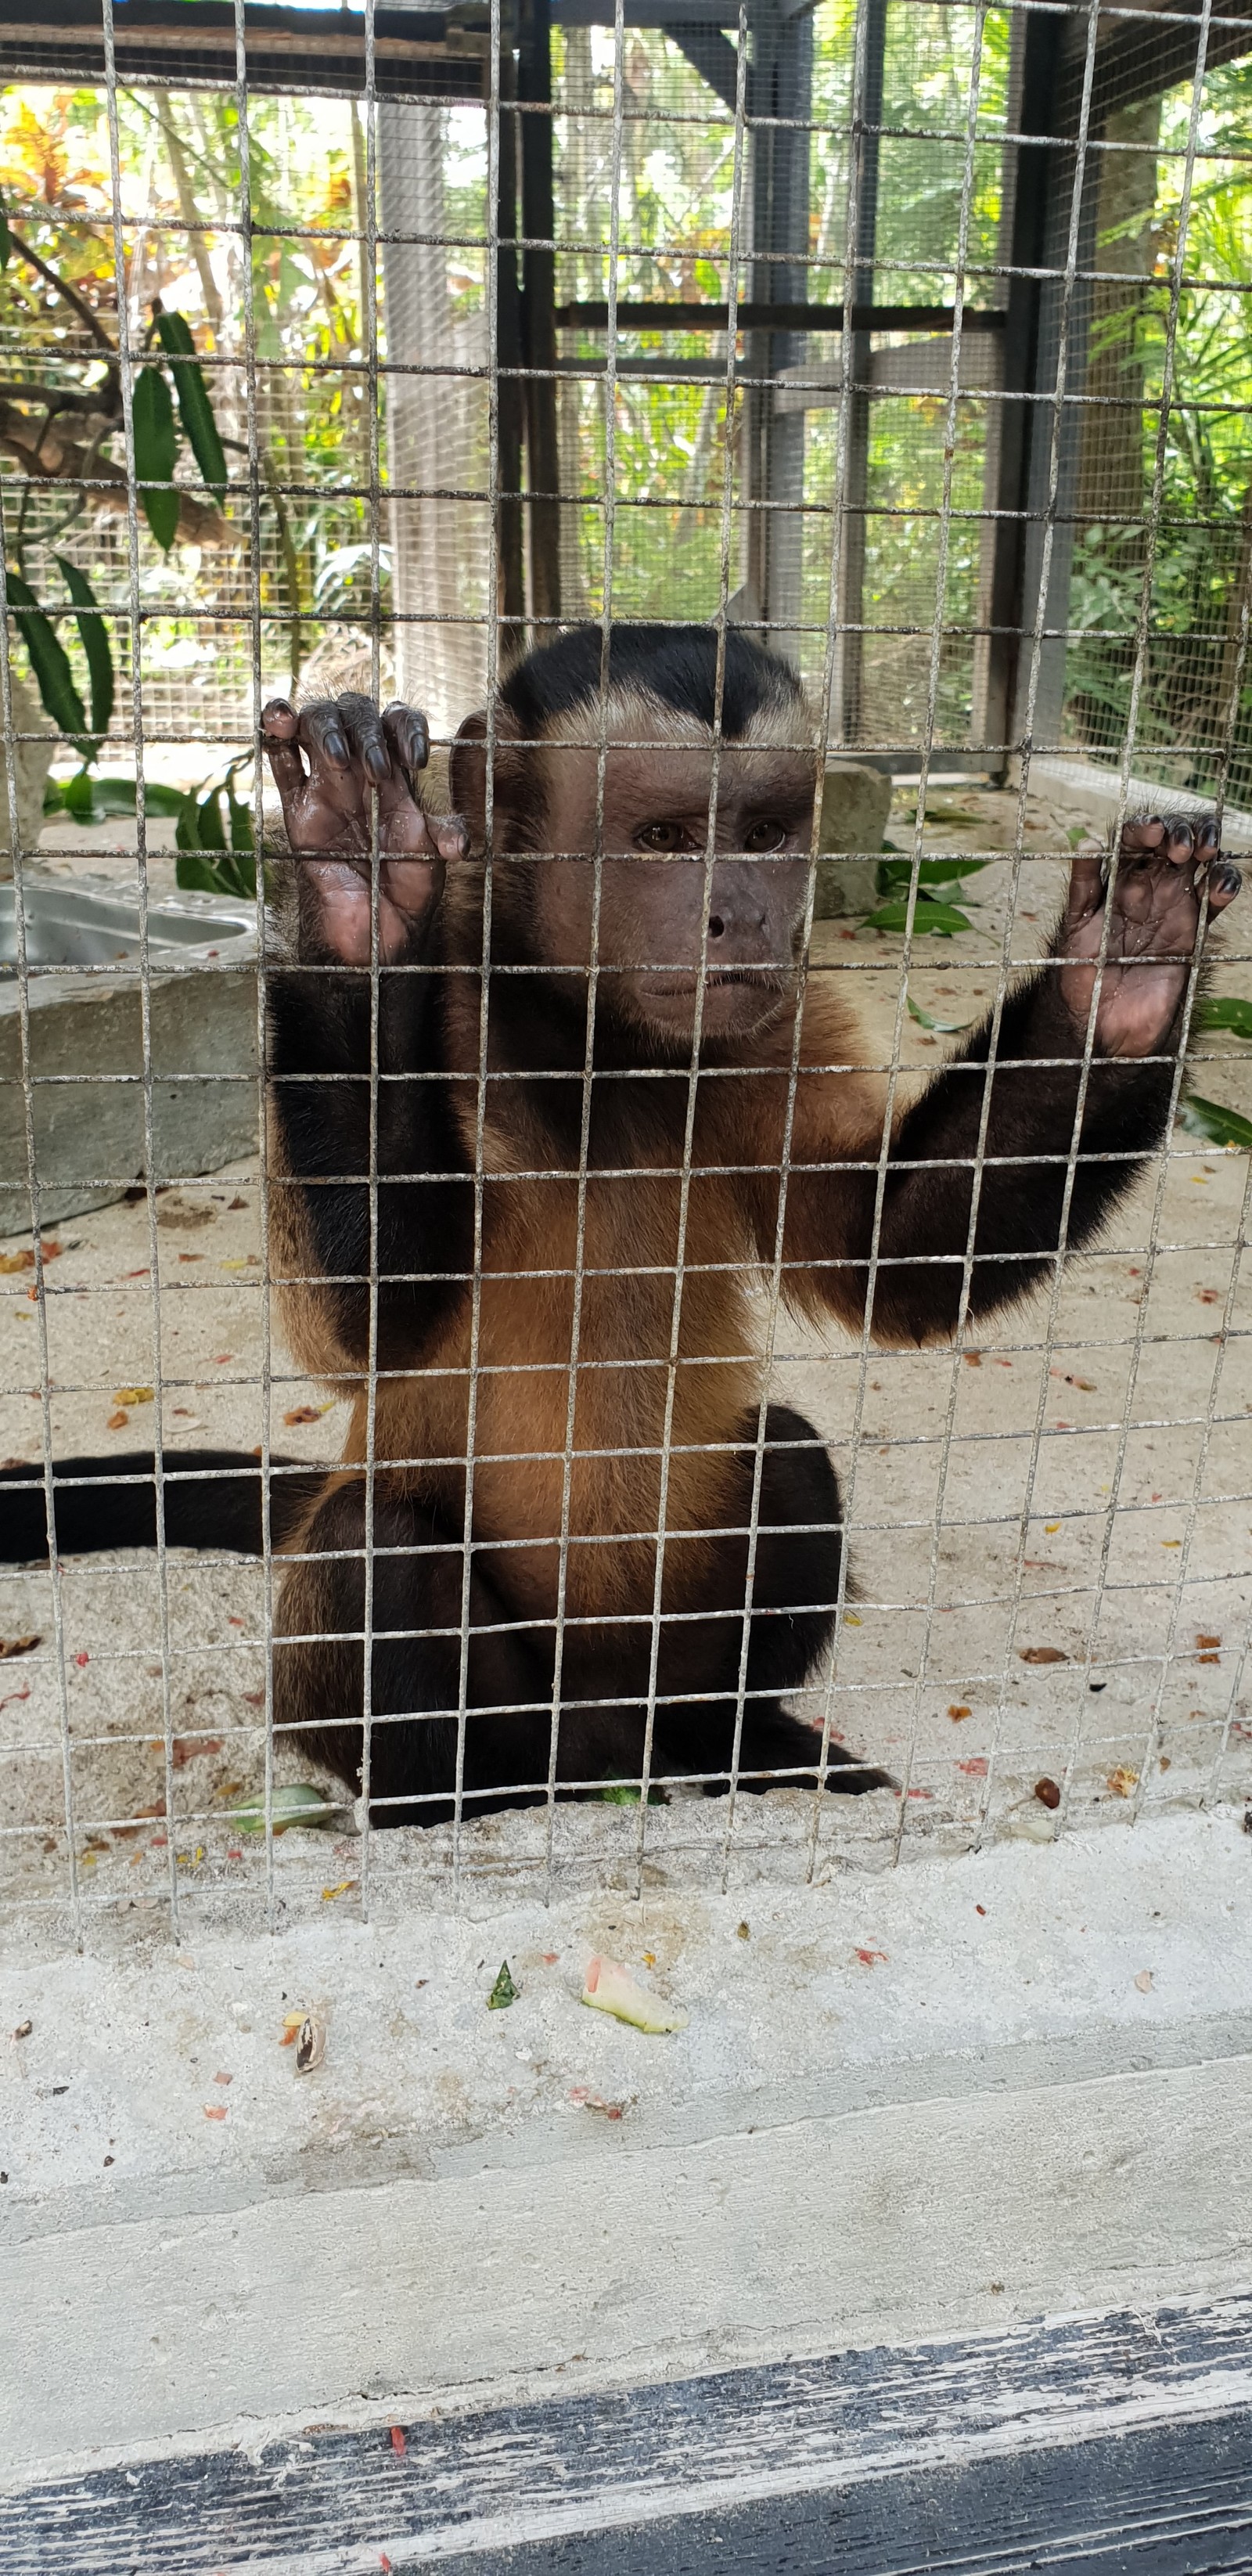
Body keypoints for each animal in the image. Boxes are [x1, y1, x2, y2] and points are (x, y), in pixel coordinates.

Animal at [0, 625, 1231, 1824]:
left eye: (766, 832)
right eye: (665, 838)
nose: (744, 913)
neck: (595, 1036)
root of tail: (601, 1737)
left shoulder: (774, 1025)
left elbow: (894, 1256)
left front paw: (1124, 971)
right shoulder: (461, 1003)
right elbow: (359, 1334)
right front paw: (358, 893)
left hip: (655, 1653)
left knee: (784, 1456)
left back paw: (727, 1740)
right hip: (472, 1699)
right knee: (374, 1550)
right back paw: (468, 1803)